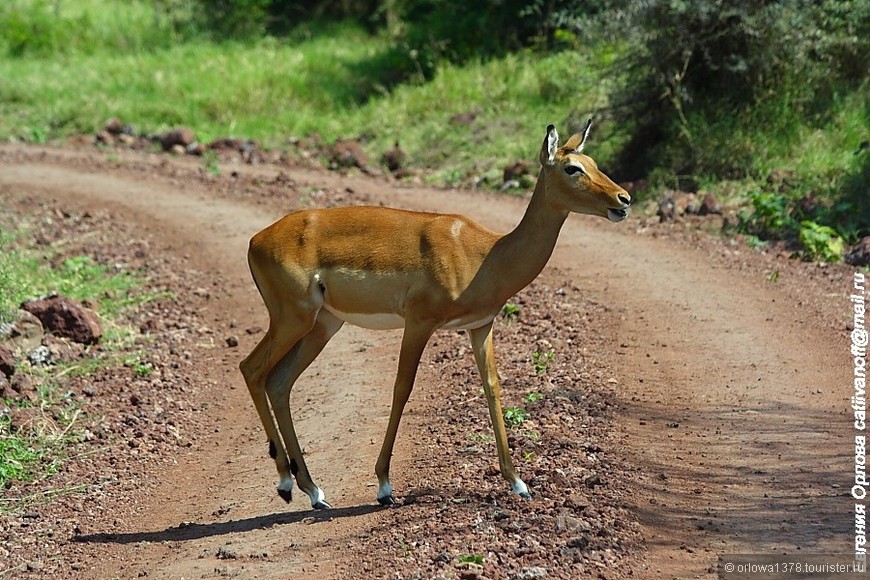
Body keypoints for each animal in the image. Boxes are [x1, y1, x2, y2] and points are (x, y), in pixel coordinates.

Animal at [242, 122, 632, 508]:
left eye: (594, 162)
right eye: (572, 168)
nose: (623, 199)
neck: (487, 254)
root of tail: (255, 241)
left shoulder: (481, 326)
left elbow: (492, 387)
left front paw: (519, 483)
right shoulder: (419, 322)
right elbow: (402, 387)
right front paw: (384, 486)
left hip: (323, 325)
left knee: (279, 382)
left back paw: (312, 490)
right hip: (293, 319)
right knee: (252, 369)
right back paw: (286, 483)